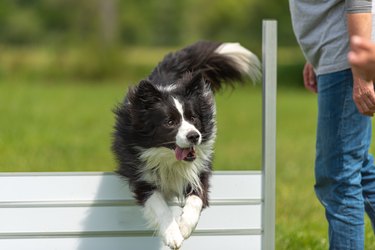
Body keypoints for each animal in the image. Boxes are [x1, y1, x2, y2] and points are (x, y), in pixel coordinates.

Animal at [112, 42, 262, 249]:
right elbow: (159, 204)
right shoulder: (141, 174)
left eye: (193, 117)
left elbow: (196, 198)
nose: (194, 136)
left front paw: (184, 227)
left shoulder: (200, 170)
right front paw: (173, 235)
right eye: (170, 122)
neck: (168, 158)